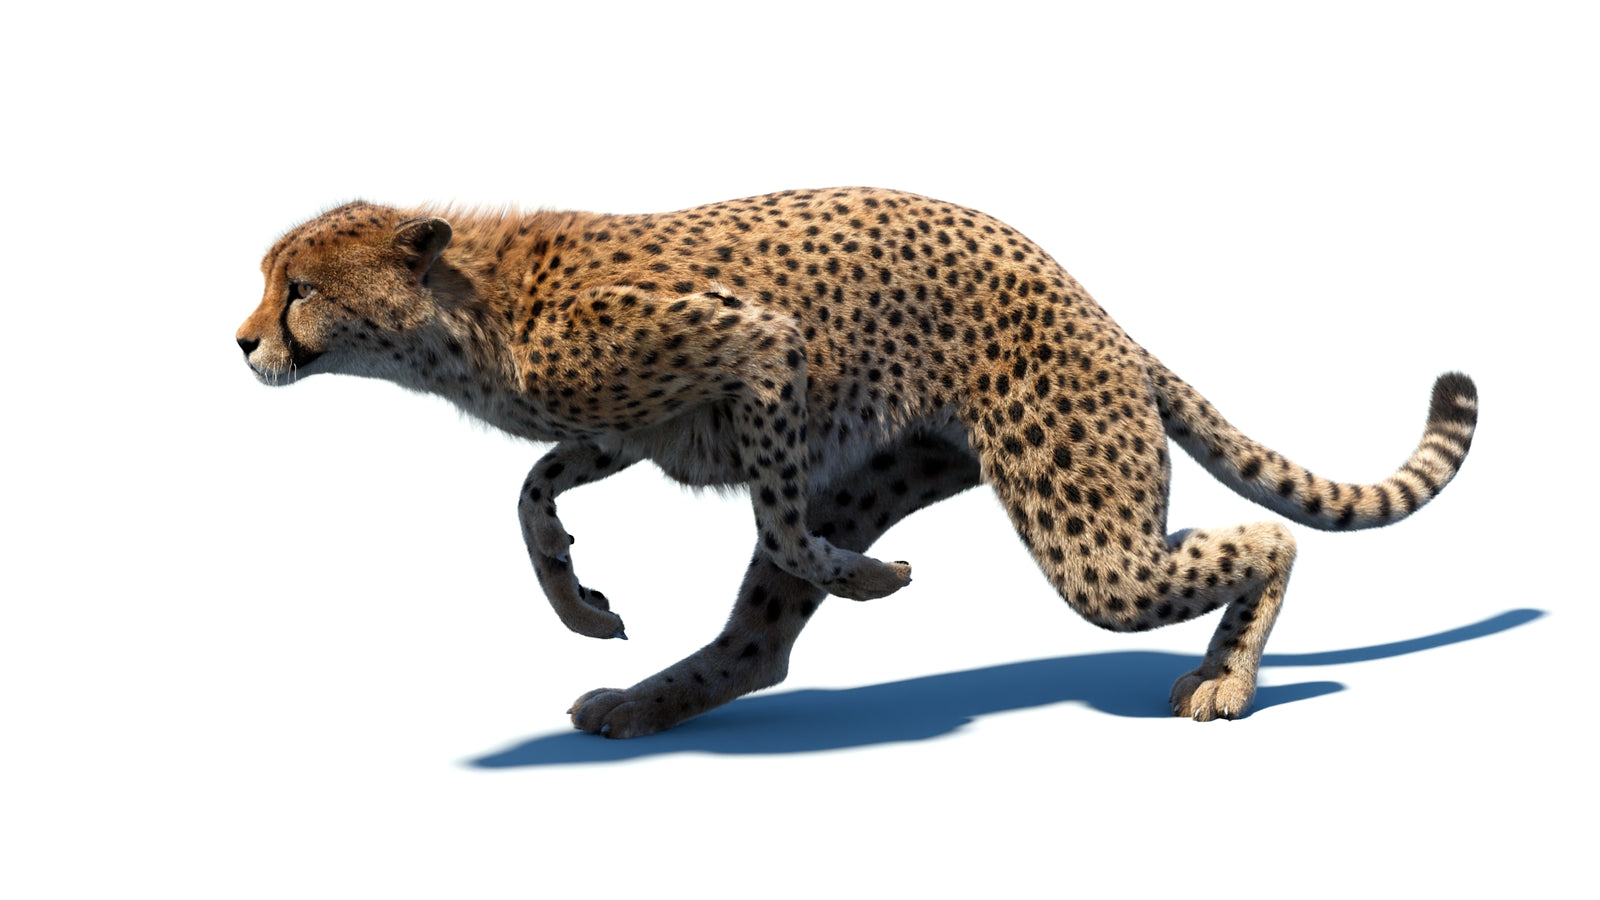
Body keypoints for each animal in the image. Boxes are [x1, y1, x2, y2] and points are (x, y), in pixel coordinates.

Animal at [236, 187, 1478, 738]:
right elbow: (531, 491)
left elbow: (781, 518)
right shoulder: (628, 428)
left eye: (298, 289)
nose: (242, 342)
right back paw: (647, 701)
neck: (467, 311)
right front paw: (578, 601)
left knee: (1262, 538)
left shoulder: (756, 346)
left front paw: (867, 579)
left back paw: (1227, 677)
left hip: (1087, 534)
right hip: (907, 471)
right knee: (758, 649)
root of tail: (1104, 316)